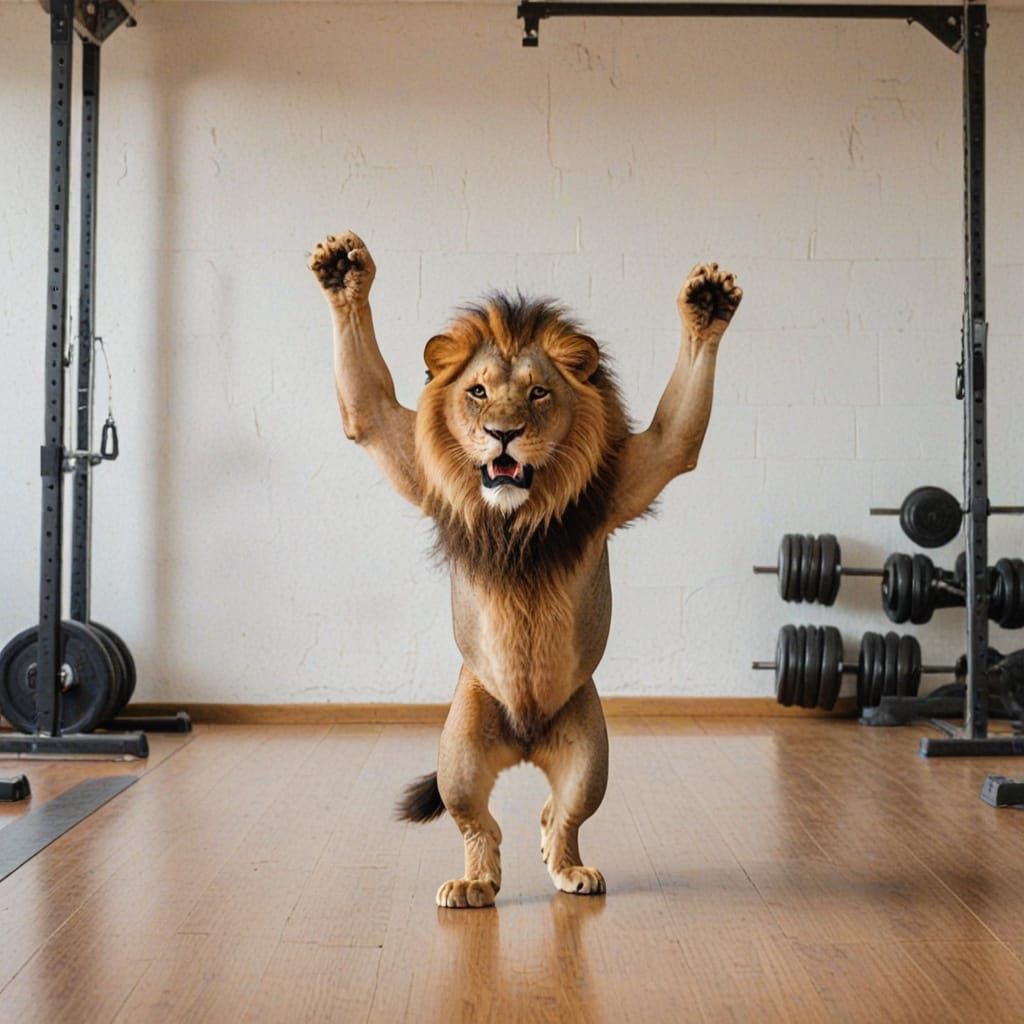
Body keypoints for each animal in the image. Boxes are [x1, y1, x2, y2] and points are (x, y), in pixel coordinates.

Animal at [309, 231, 741, 908]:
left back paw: (569, 869)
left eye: (538, 392)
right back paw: (473, 883)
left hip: (590, 746)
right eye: (478, 392)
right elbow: (367, 404)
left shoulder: (628, 477)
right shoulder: (408, 457)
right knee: (477, 821)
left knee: (563, 815)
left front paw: (707, 307)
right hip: (461, 743)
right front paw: (342, 274)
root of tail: (527, 737)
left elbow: (678, 433)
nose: (502, 433)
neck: (518, 519)